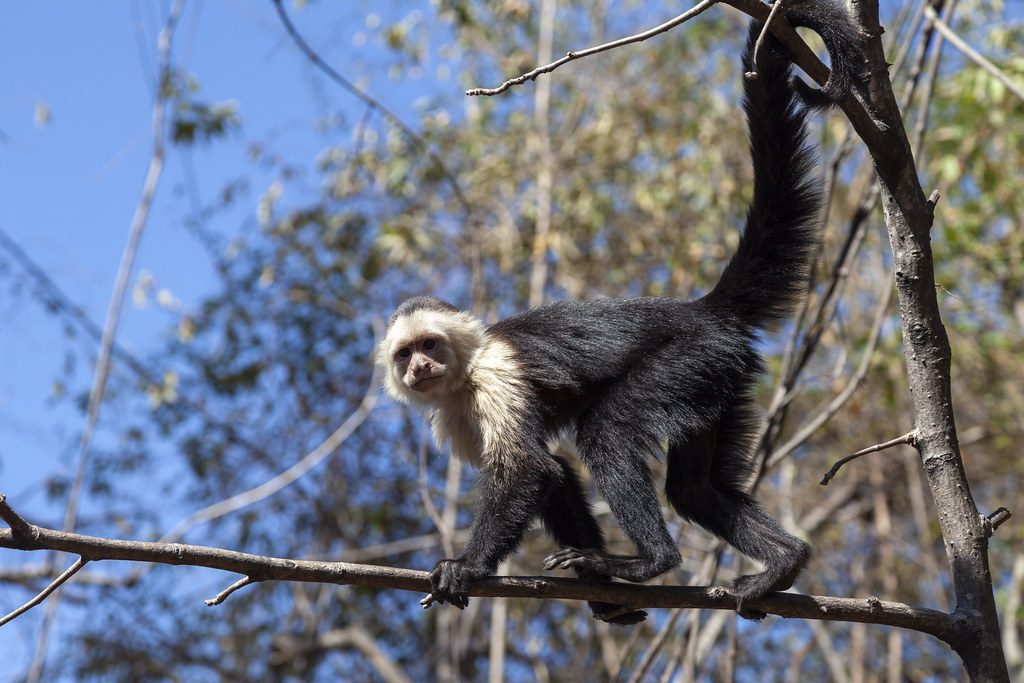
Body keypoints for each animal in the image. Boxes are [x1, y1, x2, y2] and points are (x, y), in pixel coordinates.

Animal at [378, 0, 865, 624]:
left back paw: (653, 561)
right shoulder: (455, 414)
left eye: (430, 345)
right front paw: (600, 592)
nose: (420, 368)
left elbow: (530, 472)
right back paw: (782, 562)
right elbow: (555, 476)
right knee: (692, 489)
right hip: (722, 380)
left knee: (608, 430)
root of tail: (701, 312)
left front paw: (468, 567)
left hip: (690, 360)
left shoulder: (493, 377)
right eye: (405, 355)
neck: (463, 375)